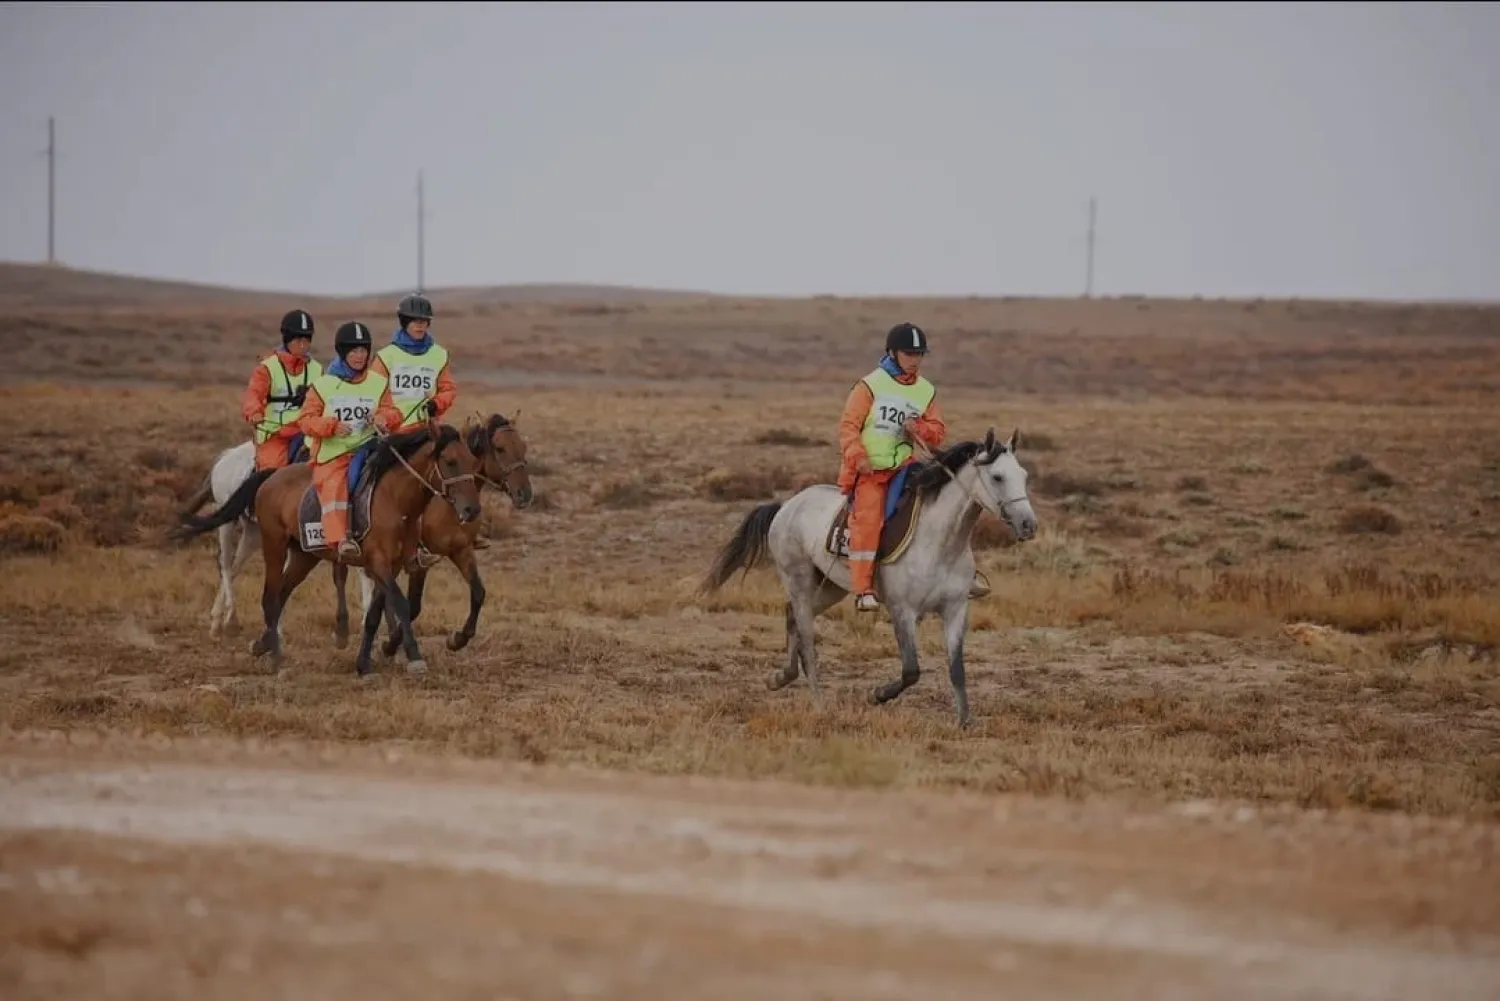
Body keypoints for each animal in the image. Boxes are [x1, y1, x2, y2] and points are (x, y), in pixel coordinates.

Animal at [173, 420, 483, 678]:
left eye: (473, 462)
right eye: (450, 462)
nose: (471, 510)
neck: (395, 500)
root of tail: (272, 475)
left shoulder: (394, 565)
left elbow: (375, 613)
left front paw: (364, 663)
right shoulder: (378, 562)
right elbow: (402, 604)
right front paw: (414, 657)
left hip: (303, 555)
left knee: (281, 592)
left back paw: (263, 645)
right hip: (270, 543)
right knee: (262, 592)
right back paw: (272, 656)